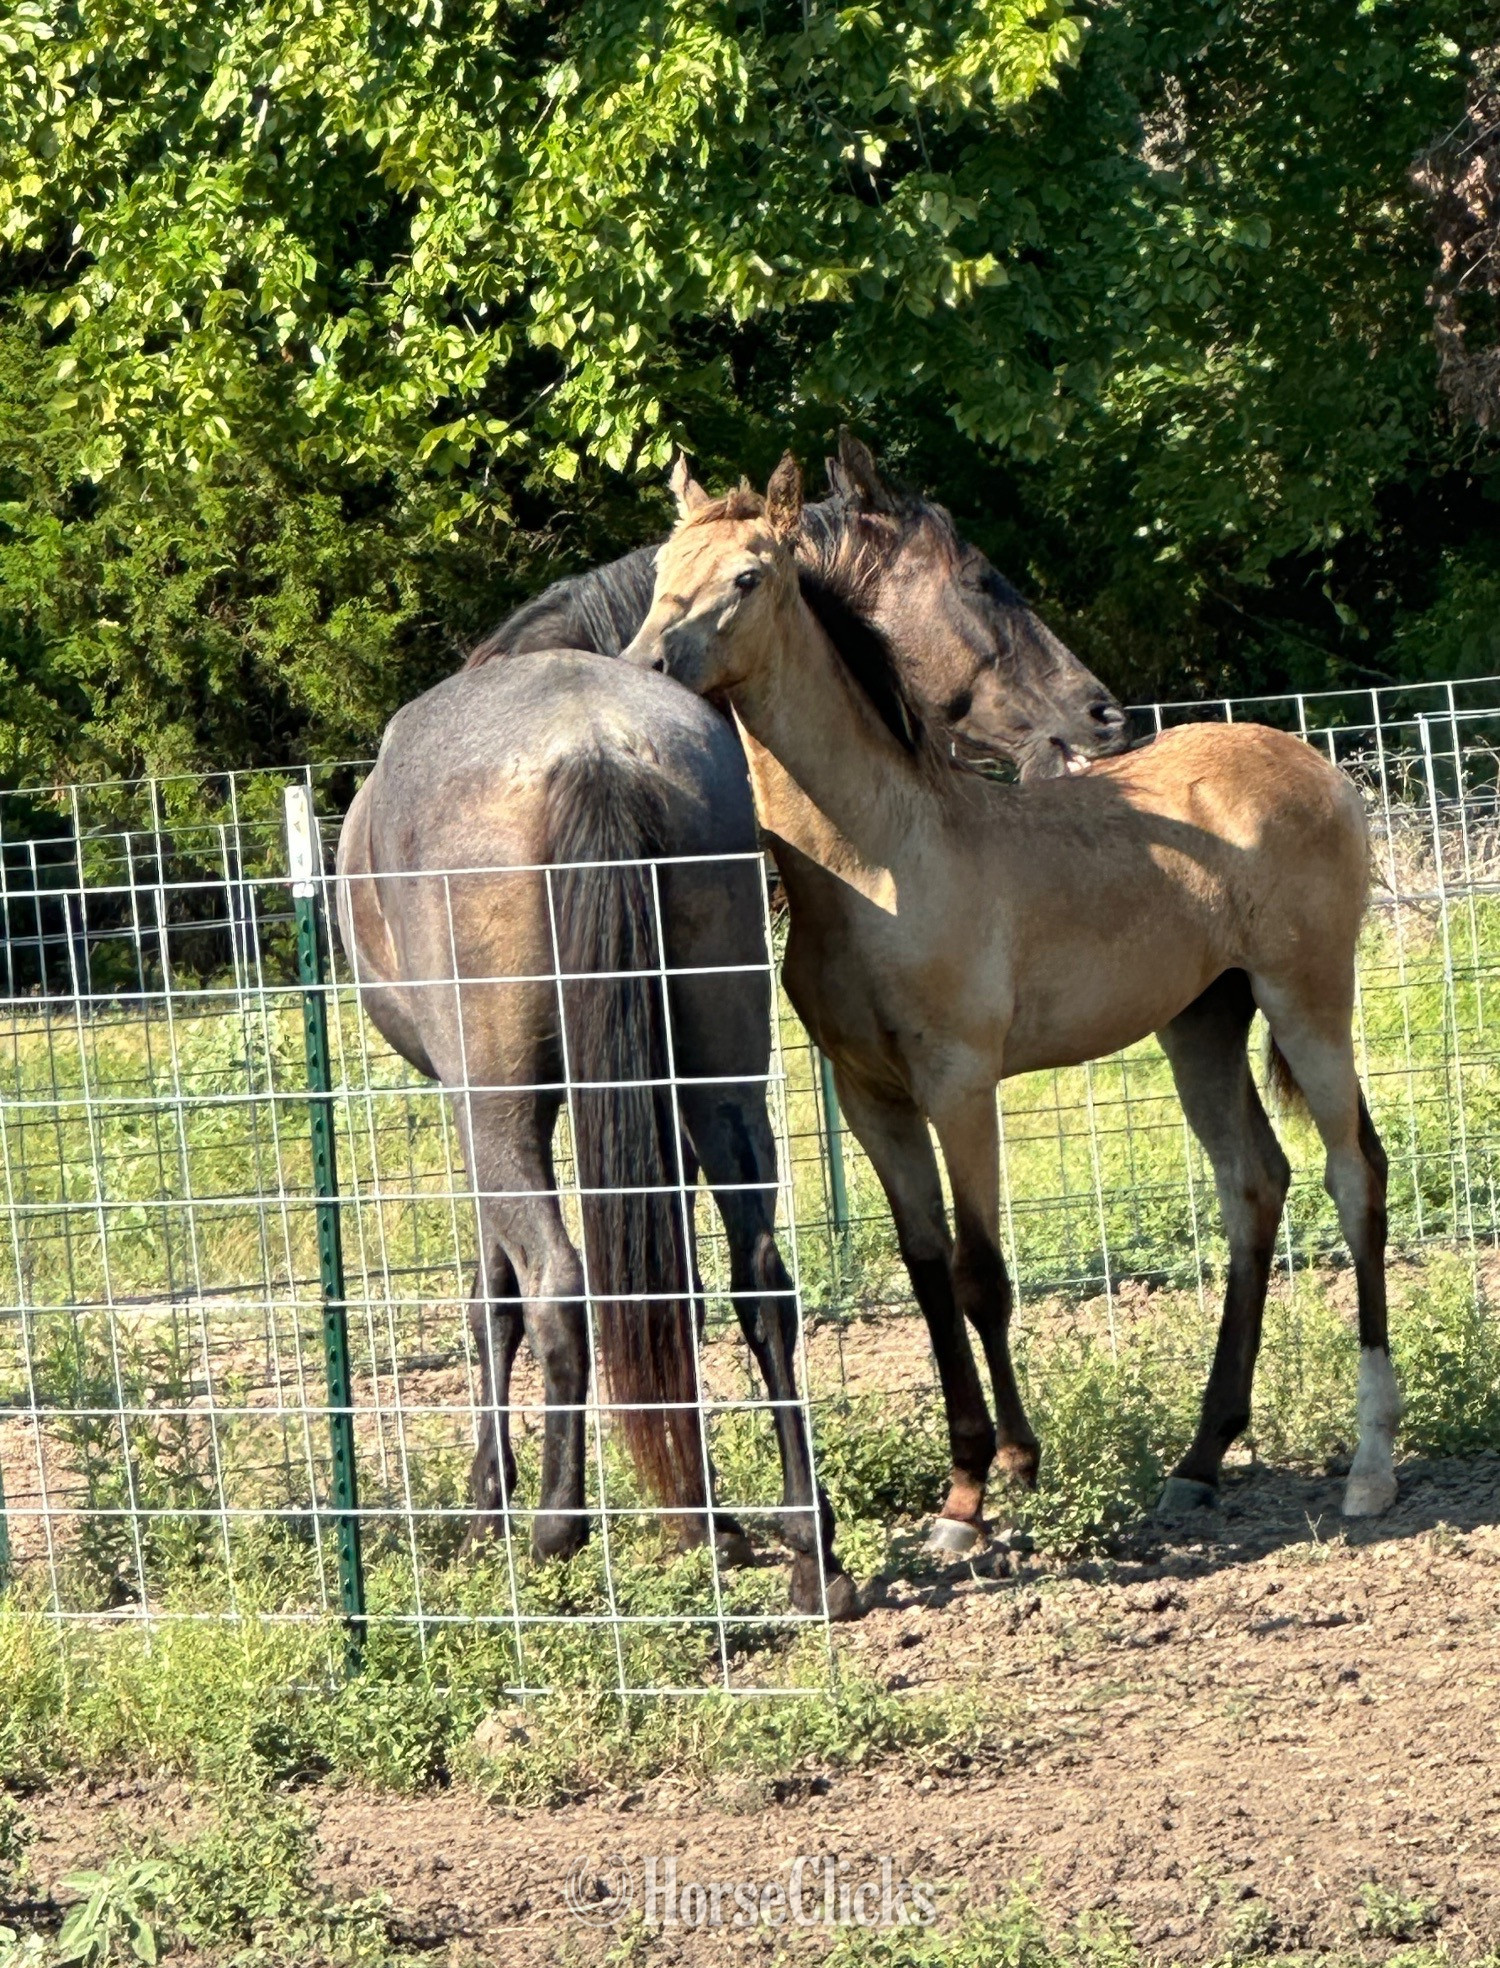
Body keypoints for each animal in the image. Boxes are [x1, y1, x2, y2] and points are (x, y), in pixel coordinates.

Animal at [622, 455, 1402, 1553]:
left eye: (747, 577)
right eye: (660, 573)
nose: (644, 664)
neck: (880, 858)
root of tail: (1321, 768)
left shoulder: (960, 1083)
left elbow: (981, 1273)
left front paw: (1001, 1483)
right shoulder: (872, 1099)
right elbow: (926, 1272)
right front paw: (961, 1485)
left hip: (1308, 1001)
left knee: (1352, 1175)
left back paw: (1370, 1467)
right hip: (1201, 1024)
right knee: (1255, 1184)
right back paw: (1198, 1463)